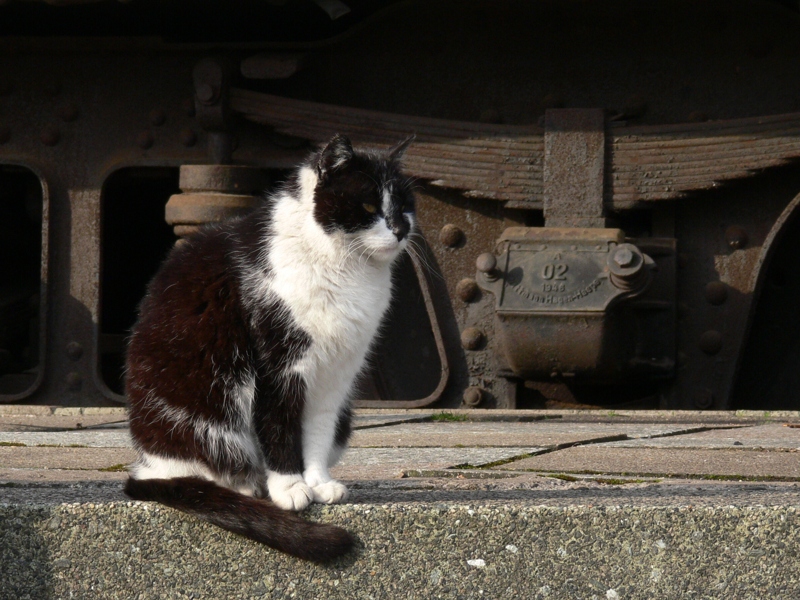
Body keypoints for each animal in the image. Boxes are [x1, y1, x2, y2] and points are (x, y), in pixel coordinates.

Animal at [125, 135, 416, 564]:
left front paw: (318, 482)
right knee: (212, 462)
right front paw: (290, 487)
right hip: (211, 405)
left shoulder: (335, 376)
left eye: (405, 206)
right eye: (367, 207)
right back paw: (248, 486)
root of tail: (145, 466)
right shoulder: (279, 364)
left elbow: (316, 432)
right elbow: (278, 427)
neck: (346, 267)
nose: (399, 229)